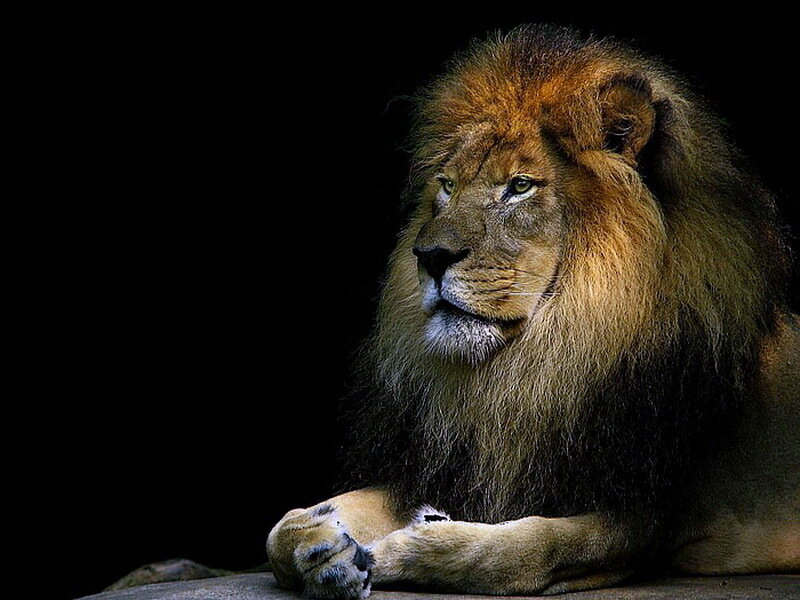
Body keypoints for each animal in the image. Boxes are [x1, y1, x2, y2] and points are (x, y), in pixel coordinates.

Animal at [267, 25, 799, 599]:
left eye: (520, 186)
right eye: (448, 185)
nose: (428, 256)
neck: (538, 364)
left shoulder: (648, 519)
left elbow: (518, 551)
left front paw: (406, 546)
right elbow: (284, 528)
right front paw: (321, 546)